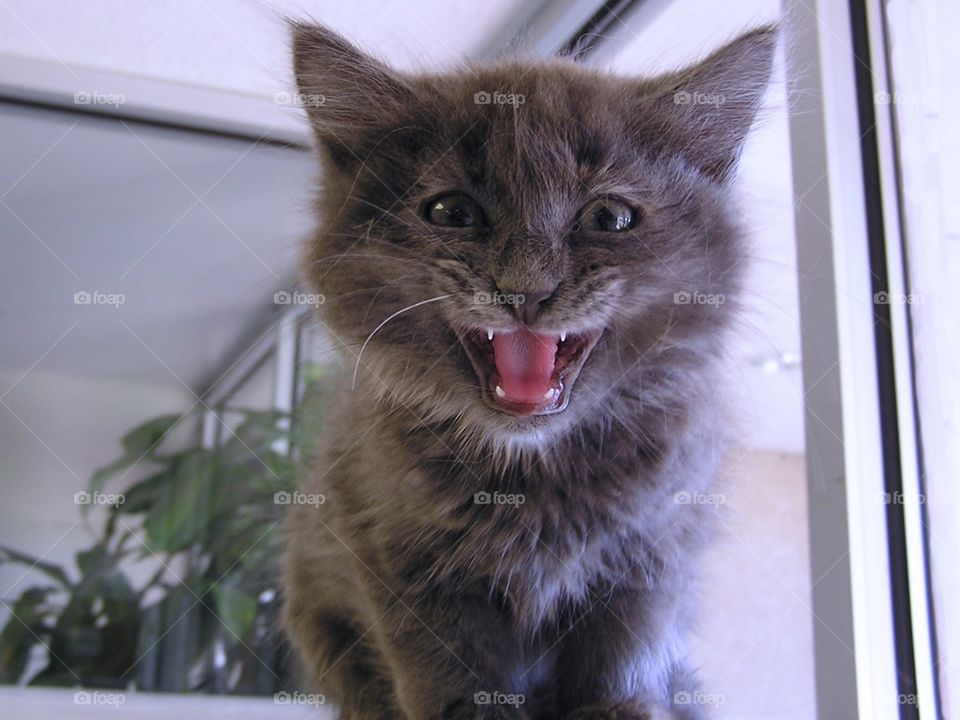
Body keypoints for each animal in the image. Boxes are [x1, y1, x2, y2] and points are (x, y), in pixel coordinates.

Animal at [282, 22, 776, 720]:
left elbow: (625, 647)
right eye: (452, 212)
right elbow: (446, 670)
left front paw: (619, 708)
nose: (526, 291)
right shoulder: (390, 550)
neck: (532, 473)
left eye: (610, 218)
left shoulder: (658, 545)